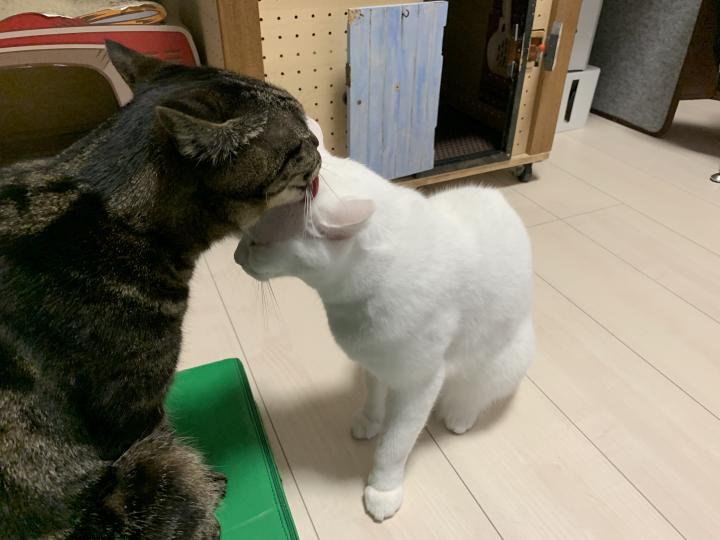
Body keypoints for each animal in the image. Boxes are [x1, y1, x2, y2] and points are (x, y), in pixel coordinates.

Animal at [0, 41, 320, 539]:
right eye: (299, 143)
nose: (321, 144)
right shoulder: (135, 412)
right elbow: (170, 438)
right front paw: (210, 503)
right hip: (144, 478)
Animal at [234, 117, 534, 522]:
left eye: (258, 243)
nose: (236, 256)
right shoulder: (372, 363)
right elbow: (373, 394)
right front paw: (369, 421)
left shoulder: (419, 385)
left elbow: (395, 445)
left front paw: (383, 489)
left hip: (503, 359)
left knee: (476, 392)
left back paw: (458, 414)